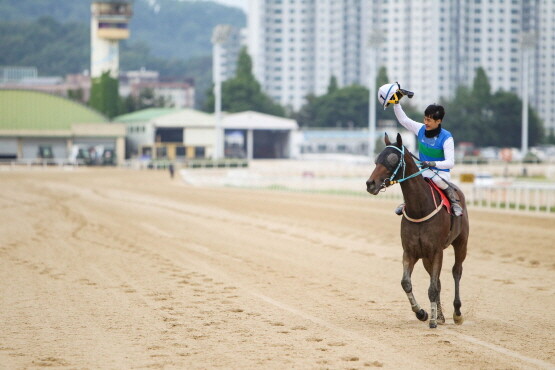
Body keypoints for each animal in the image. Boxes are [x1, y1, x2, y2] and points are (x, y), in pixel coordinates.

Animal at [368, 132, 472, 326]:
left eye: (392, 160)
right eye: (377, 159)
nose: (370, 184)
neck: (419, 208)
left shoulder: (437, 251)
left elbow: (433, 287)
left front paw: (432, 320)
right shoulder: (411, 251)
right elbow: (407, 283)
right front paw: (422, 313)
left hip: (461, 242)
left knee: (456, 271)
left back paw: (457, 313)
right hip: (426, 257)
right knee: (437, 280)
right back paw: (440, 316)